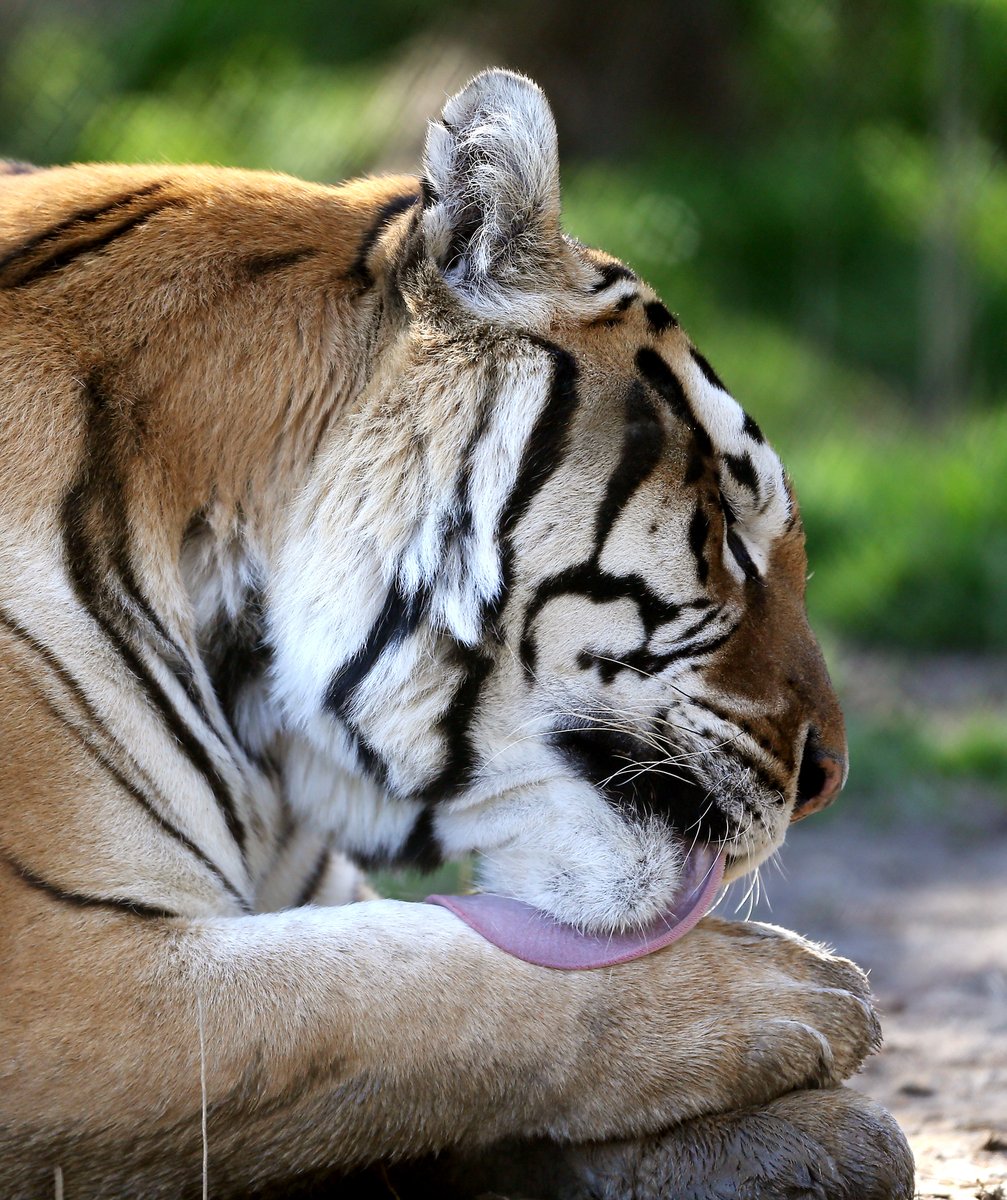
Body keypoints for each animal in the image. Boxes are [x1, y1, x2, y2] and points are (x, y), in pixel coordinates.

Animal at [0, 69, 912, 1199]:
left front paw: (815, 1138)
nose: (828, 776)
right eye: (730, 531)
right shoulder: (59, 978)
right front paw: (795, 989)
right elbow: (399, 988)